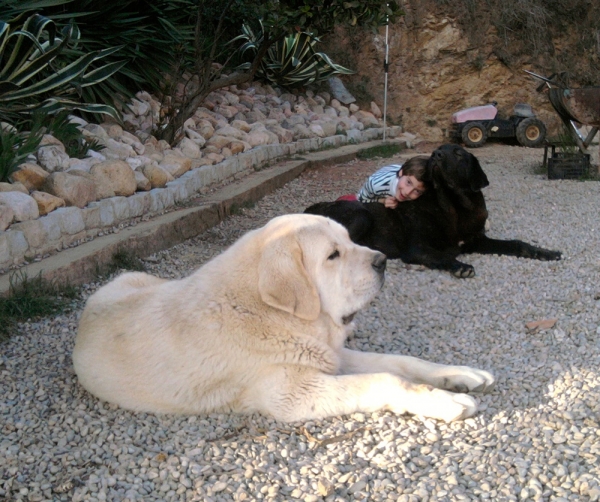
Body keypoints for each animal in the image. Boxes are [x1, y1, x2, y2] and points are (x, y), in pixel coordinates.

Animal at [72, 214, 494, 422]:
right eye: (333, 255)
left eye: (350, 240)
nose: (382, 261)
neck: (269, 311)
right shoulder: (293, 392)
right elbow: (385, 379)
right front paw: (446, 401)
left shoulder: (327, 353)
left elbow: (401, 361)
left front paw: (460, 374)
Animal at [304, 143, 564, 278]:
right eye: (439, 149)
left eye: (458, 153)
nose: (436, 154)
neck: (455, 206)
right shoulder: (417, 248)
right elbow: (443, 256)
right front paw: (460, 266)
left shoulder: (476, 240)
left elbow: (516, 243)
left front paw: (546, 252)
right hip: (362, 215)